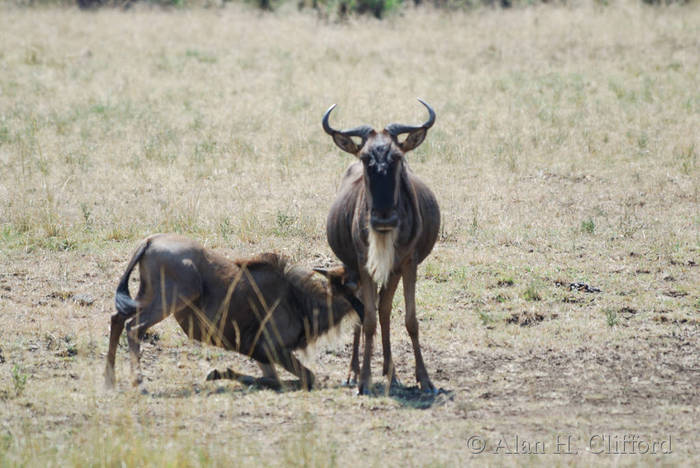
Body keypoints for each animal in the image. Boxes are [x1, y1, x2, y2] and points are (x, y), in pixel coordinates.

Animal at [106, 234, 366, 392]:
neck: (298, 300)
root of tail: (150, 240)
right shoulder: (270, 348)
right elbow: (306, 377)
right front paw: (217, 373)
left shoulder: (261, 354)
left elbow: (273, 379)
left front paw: (218, 373)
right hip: (171, 299)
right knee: (133, 327)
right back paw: (138, 384)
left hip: (145, 297)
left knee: (117, 319)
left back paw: (110, 380)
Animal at [322, 99, 438, 394]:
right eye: (365, 158)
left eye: (397, 157)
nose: (383, 218)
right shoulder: (364, 266)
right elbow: (368, 321)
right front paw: (363, 380)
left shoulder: (408, 264)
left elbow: (409, 320)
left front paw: (425, 379)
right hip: (356, 270)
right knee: (364, 315)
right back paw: (353, 372)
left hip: (390, 272)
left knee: (384, 310)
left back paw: (391, 372)